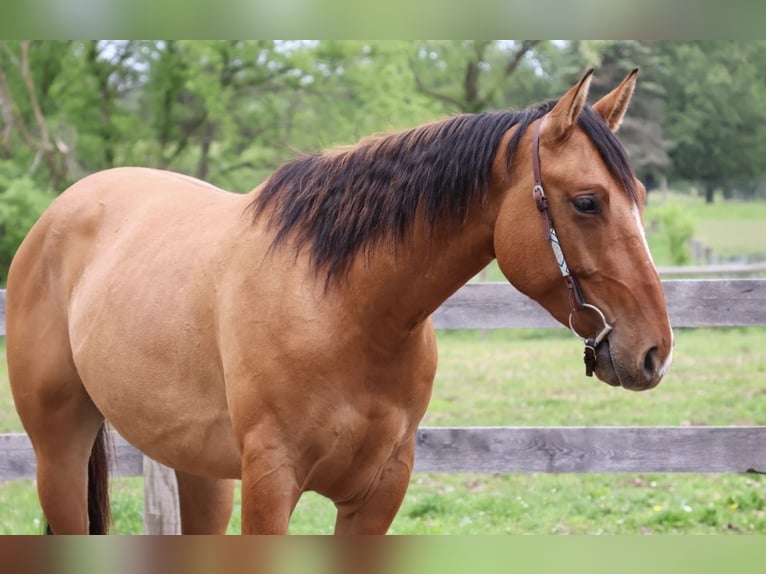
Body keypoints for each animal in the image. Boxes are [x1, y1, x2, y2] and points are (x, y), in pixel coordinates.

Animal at [5, 69, 673, 534]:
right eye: (587, 201)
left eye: (639, 194)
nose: (653, 353)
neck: (345, 309)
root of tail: (61, 212)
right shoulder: (271, 485)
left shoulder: (379, 492)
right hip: (59, 457)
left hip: (199, 471)